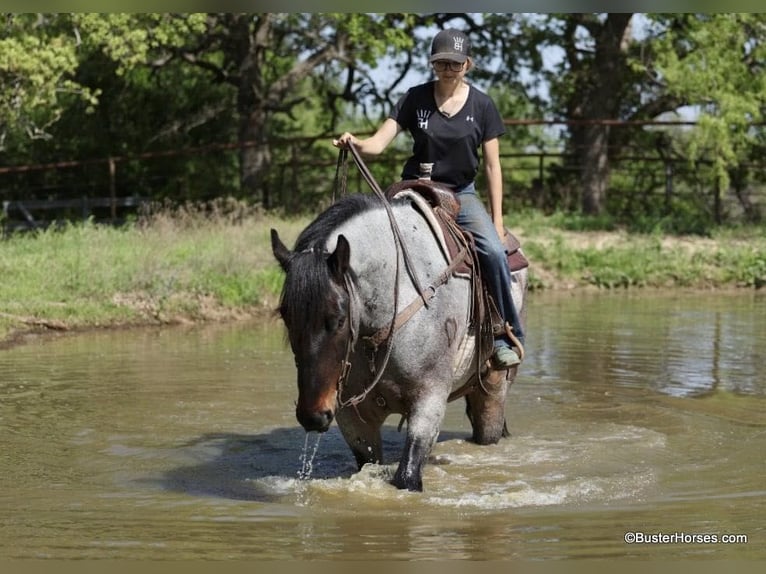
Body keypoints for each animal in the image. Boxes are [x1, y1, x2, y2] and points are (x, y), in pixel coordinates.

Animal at [270, 187, 528, 492]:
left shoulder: (429, 401)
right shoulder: (353, 418)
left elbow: (407, 476)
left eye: (339, 318)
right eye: (286, 316)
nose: (312, 416)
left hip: (493, 390)